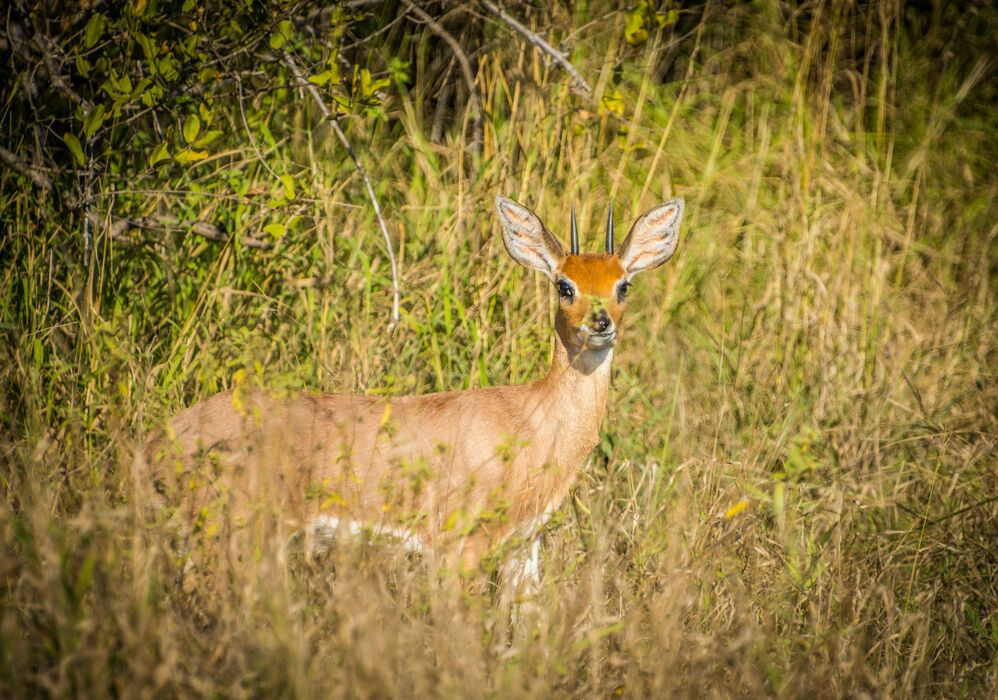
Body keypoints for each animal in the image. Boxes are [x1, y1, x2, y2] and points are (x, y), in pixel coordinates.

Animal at [145, 194, 684, 588]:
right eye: (563, 285)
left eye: (624, 285)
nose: (601, 324)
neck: (531, 425)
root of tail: (158, 440)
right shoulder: (460, 544)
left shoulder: (523, 547)